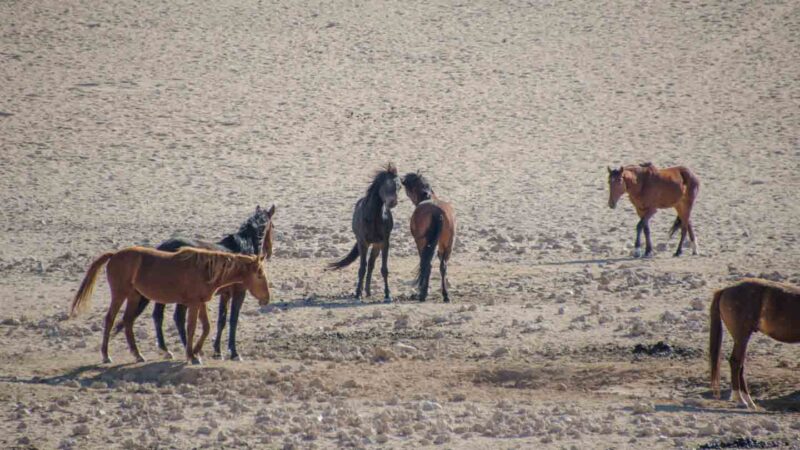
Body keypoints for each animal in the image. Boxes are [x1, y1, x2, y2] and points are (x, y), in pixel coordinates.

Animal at [69, 246, 268, 366]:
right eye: (259, 274)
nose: (267, 299)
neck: (206, 270)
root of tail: (114, 255)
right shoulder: (194, 304)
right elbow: (191, 328)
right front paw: (192, 355)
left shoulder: (201, 303)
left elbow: (206, 327)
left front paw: (196, 352)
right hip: (120, 294)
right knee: (110, 319)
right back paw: (106, 355)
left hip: (134, 296)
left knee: (127, 321)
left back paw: (138, 354)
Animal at [328, 163, 400, 302]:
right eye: (386, 184)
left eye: (399, 186)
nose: (393, 202)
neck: (374, 217)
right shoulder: (363, 243)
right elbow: (362, 268)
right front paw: (357, 294)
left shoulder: (384, 243)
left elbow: (384, 269)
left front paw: (387, 295)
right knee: (366, 265)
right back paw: (362, 290)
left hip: (376, 245)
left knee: (371, 264)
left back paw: (368, 291)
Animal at [400, 171, 456, 302]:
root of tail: (437, 212)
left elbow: (423, 262)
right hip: (447, 243)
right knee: (443, 266)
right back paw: (445, 295)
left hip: (423, 242)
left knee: (427, 264)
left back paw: (423, 294)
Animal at [708, 278, 796, 408]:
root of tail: (725, 290)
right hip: (742, 337)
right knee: (735, 362)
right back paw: (740, 399)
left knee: (740, 365)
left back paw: (748, 401)